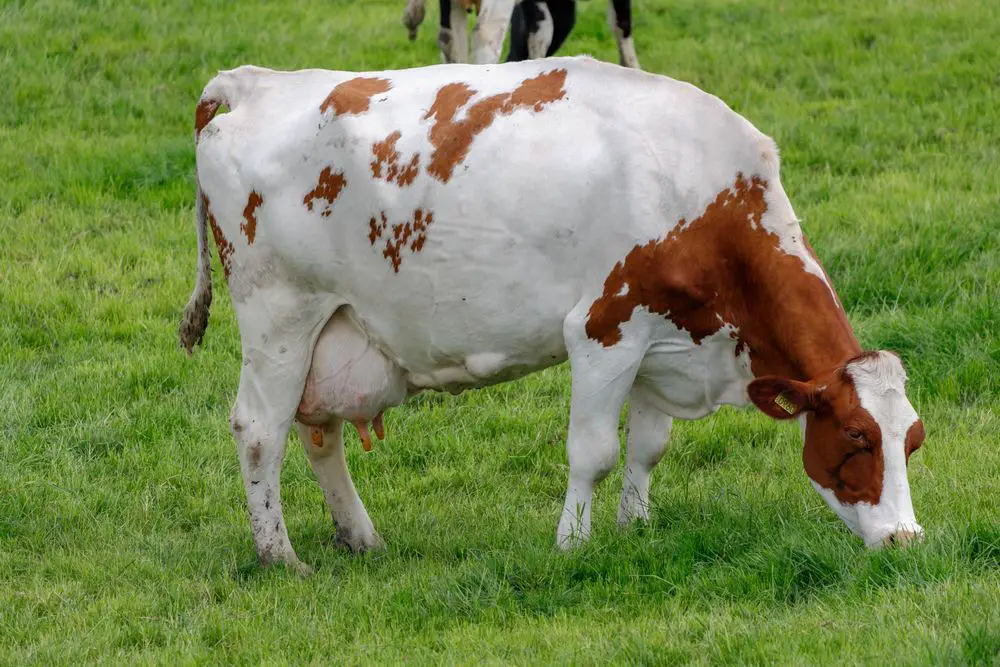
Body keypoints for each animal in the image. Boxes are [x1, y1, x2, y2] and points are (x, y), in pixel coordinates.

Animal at [182, 57, 928, 576]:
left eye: (912, 441)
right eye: (856, 438)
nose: (905, 539)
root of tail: (253, 83)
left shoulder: (663, 339)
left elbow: (648, 446)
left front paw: (635, 527)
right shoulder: (604, 329)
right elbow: (593, 452)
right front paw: (572, 543)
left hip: (335, 327)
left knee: (319, 432)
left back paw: (361, 536)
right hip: (280, 315)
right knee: (259, 431)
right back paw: (281, 556)